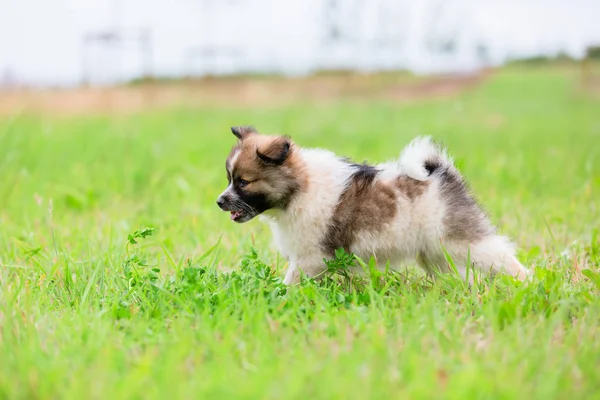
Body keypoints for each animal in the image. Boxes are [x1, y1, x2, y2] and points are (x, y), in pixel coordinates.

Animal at [217, 125, 528, 284]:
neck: (299, 188)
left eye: (243, 182)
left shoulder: (308, 258)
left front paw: (282, 298)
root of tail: (444, 174)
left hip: (463, 240)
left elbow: (291, 282)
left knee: (503, 258)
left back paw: (526, 282)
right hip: (436, 253)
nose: (219, 201)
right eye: (229, 178)